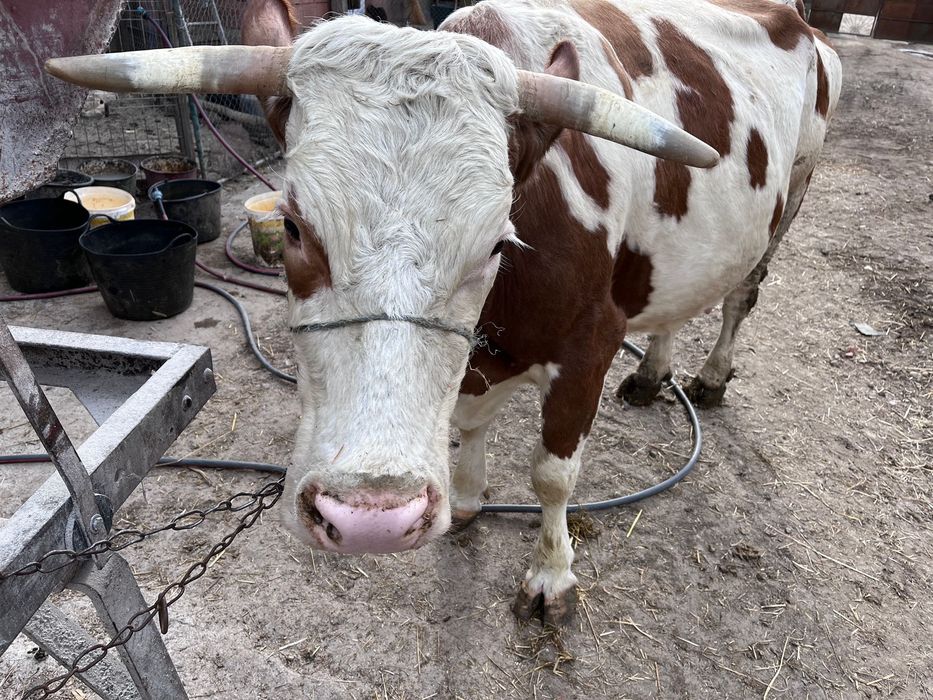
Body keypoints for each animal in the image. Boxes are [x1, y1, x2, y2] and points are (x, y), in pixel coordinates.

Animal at [46, 0, 841, 625]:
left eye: (496, 242)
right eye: (294, 227)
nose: (368, 519)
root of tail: (797, 19)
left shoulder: (590, 342)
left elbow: (553, 474)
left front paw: (551, 576)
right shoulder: (478, 359)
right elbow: (469, 421)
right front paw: (464, 500)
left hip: (793, 194)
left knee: (740, 295)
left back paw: (710, 376)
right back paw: (654, 375)